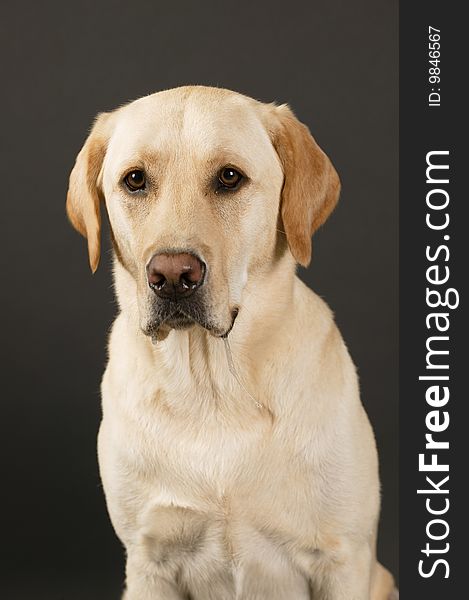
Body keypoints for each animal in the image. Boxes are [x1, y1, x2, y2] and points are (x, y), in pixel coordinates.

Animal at [66, 86, 394, 596]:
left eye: (229, 177)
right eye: (135, 180)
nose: (172, 276)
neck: (213, 388)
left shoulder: (343, 557)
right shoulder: (149, 559)